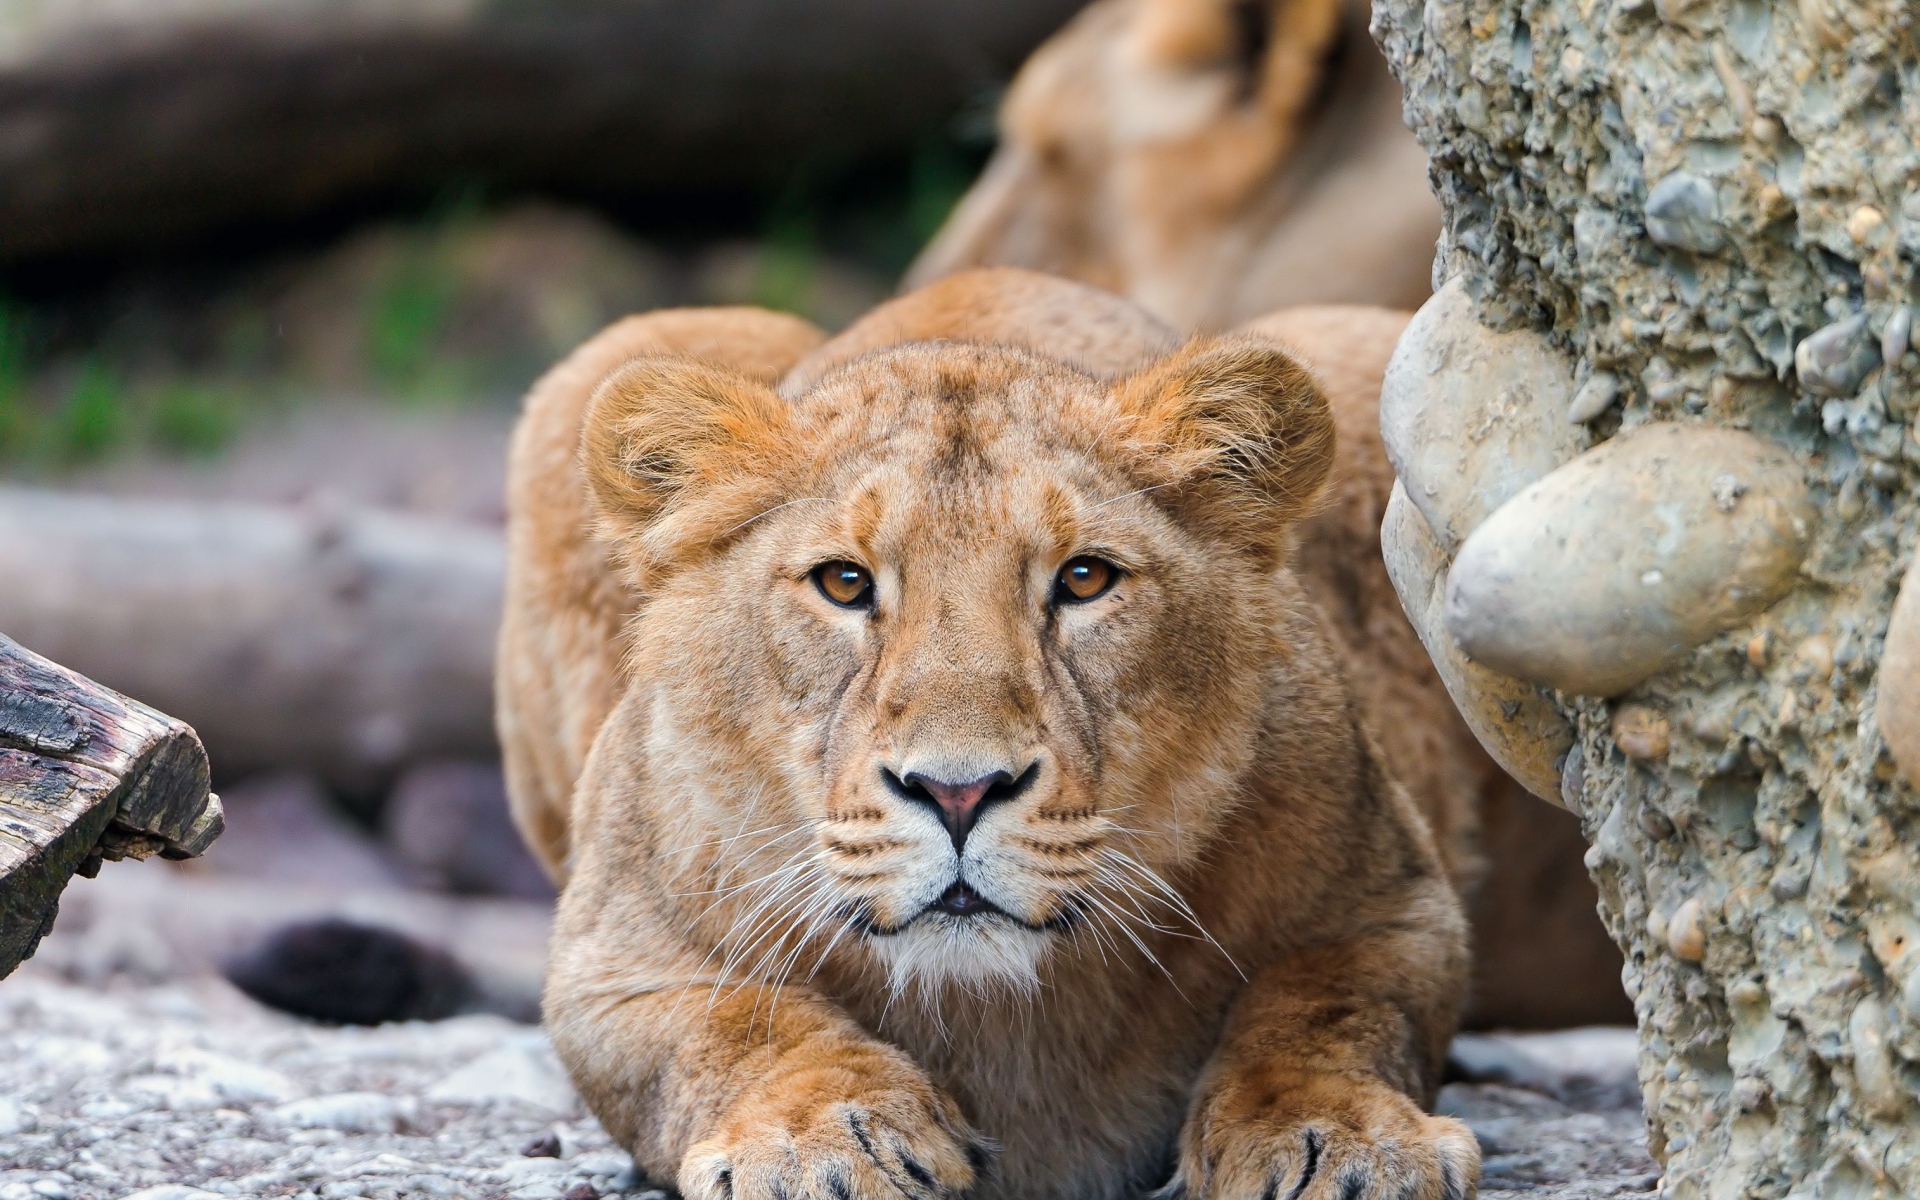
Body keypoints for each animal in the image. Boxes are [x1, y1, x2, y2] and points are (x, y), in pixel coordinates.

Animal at [499, 268, 1483, 1200]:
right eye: (844, 583)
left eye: (1084, 579)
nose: (958, 793)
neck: (996, 1010)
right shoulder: (614, 961)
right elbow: (744, 1025)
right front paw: (821, 1140)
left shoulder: (1394, 906)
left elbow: (1322, 1007)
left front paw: (1343, 1139)